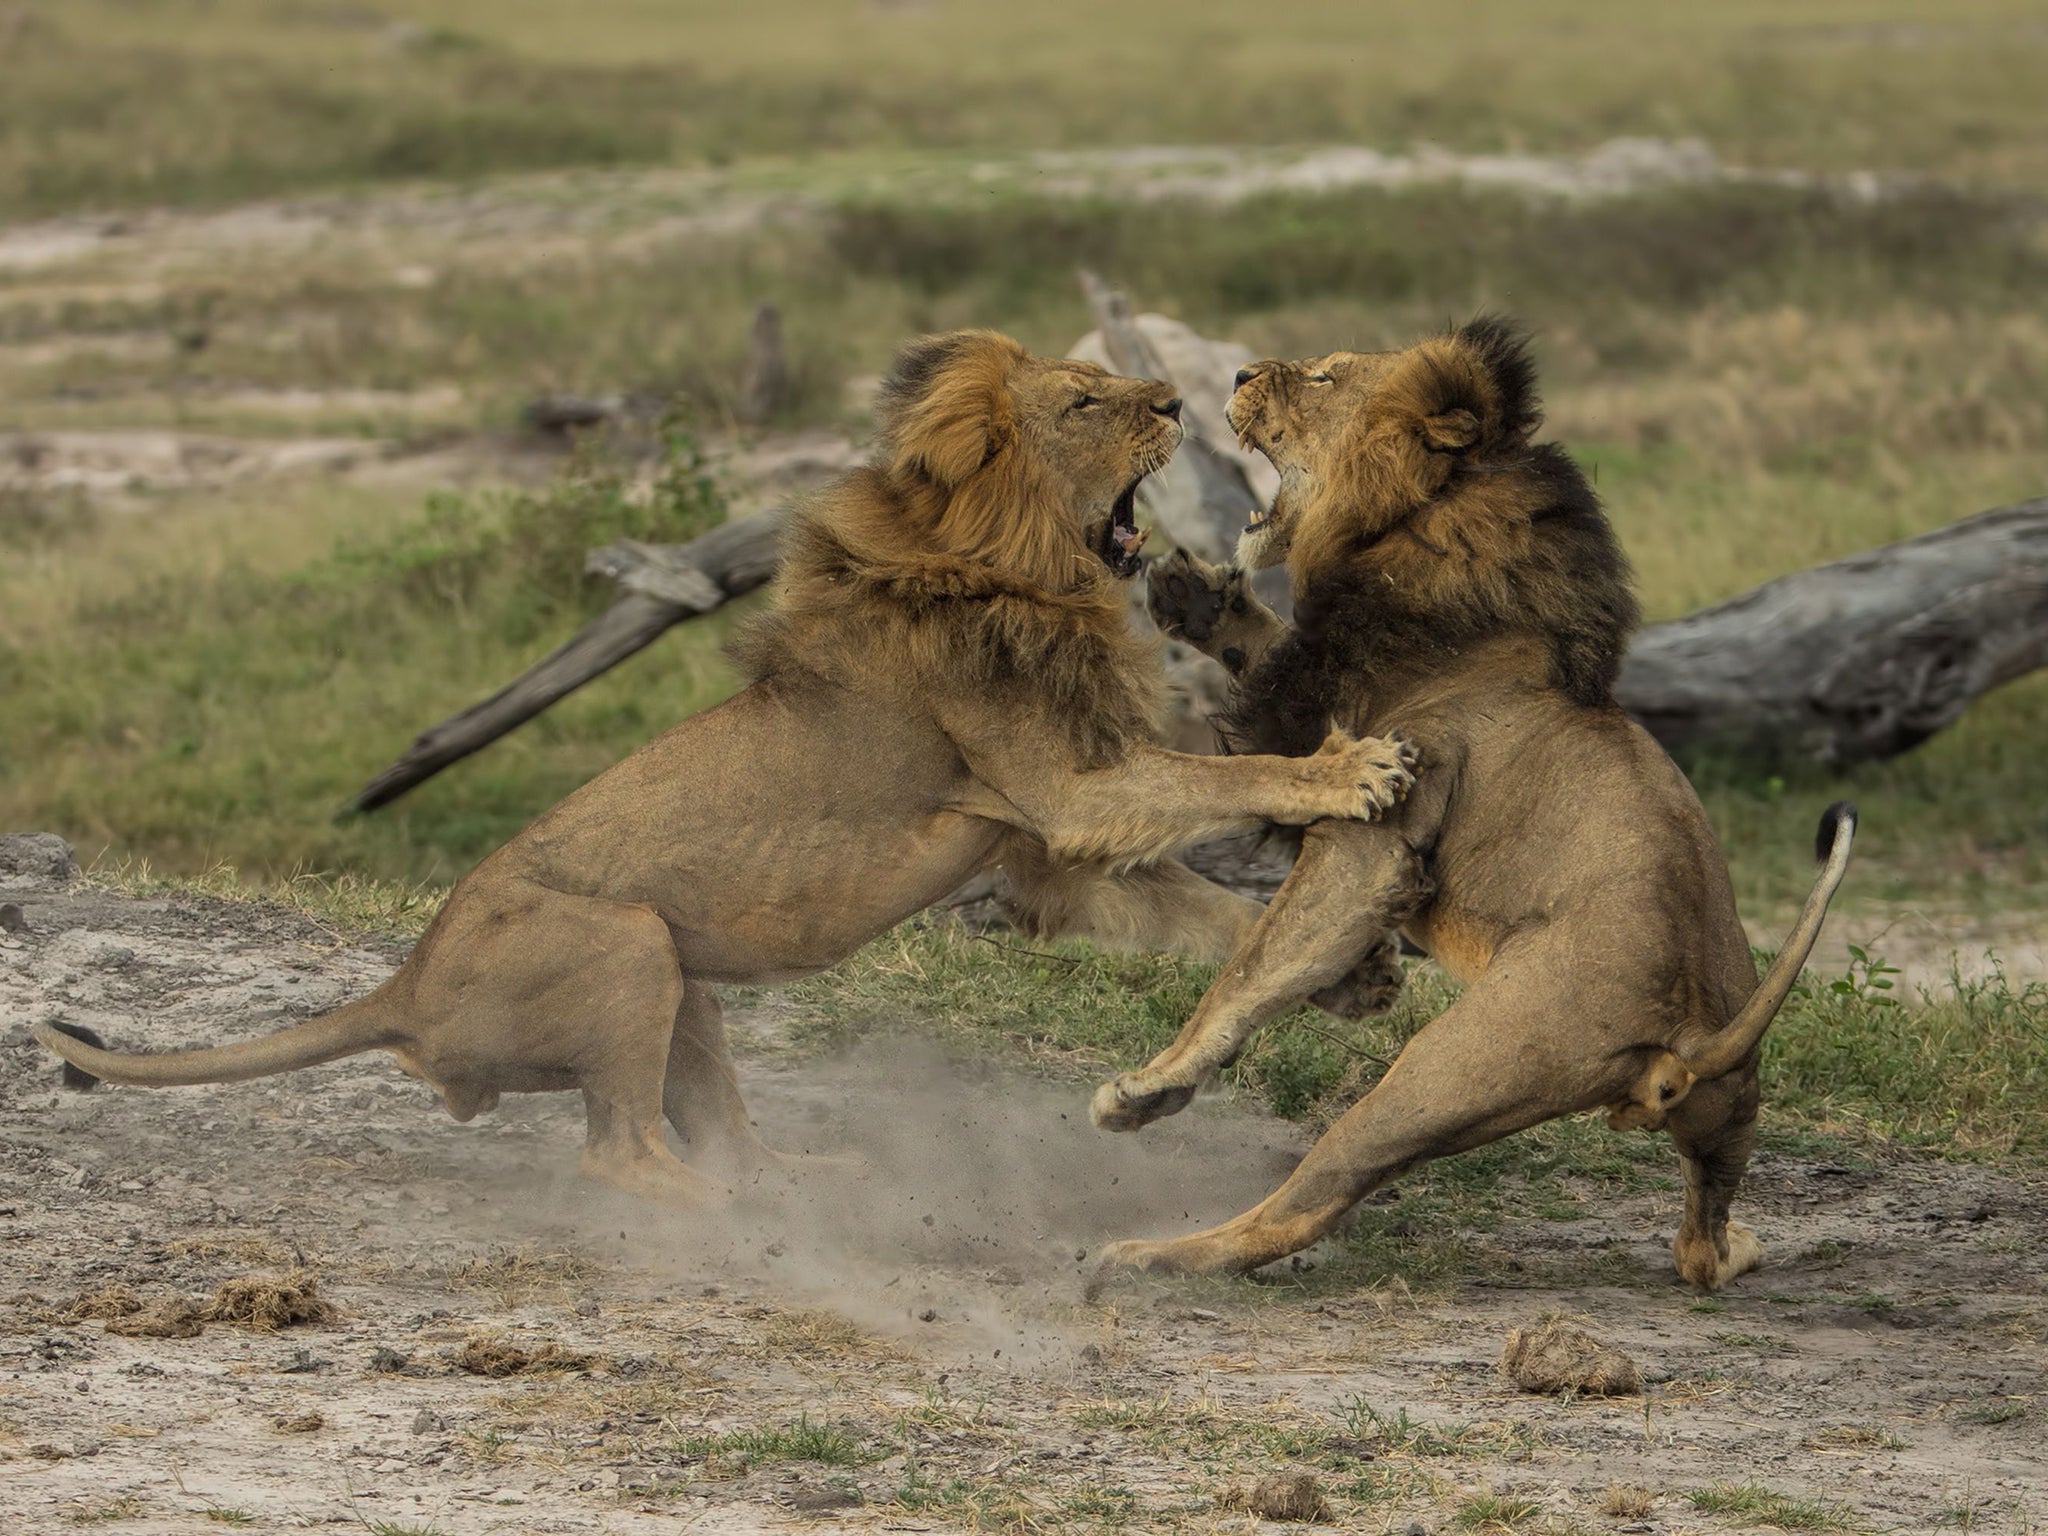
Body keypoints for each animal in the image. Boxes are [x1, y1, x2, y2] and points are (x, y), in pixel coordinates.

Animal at [36, 331, 1425, 1212]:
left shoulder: (1043, 854)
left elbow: (1199, 912)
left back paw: (807, 1183)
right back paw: (749, 1226)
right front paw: (1353, 768)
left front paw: (1353, 976)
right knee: (618, 1160)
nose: (1177, 402)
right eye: (1083, 403)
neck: (1014, 572)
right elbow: (1215, 786)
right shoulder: (1069, 789)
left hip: (680, 974)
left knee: (707, 1138)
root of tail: (403, 986)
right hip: (622, 943)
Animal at [1089, 319, 1859, 1294]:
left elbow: (1252, 972)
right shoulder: (1327, 707)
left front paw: (1151, 1088)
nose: (1237, 373)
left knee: (1310, 1197)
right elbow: (1267, 649)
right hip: (1727, 1116)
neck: (1408, 533)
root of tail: (1691, 1036)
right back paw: (1741, 1246)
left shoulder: (1377, 832)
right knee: (1702, 1249)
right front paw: (1193, 594)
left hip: (1446, 1068)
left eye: (1324, 376)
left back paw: (1145, 1256)